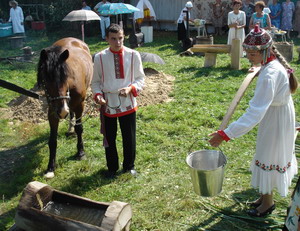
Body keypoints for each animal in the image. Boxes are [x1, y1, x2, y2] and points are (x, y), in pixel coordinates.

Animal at [38, 37, 93, 179]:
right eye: (45, 79)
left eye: (65, 77)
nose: (62, 111)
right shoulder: (52, 111)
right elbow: (52, 139)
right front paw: (50, 166)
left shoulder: (80, 105)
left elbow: (79, 128)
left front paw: (80, 152)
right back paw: (70, 128)